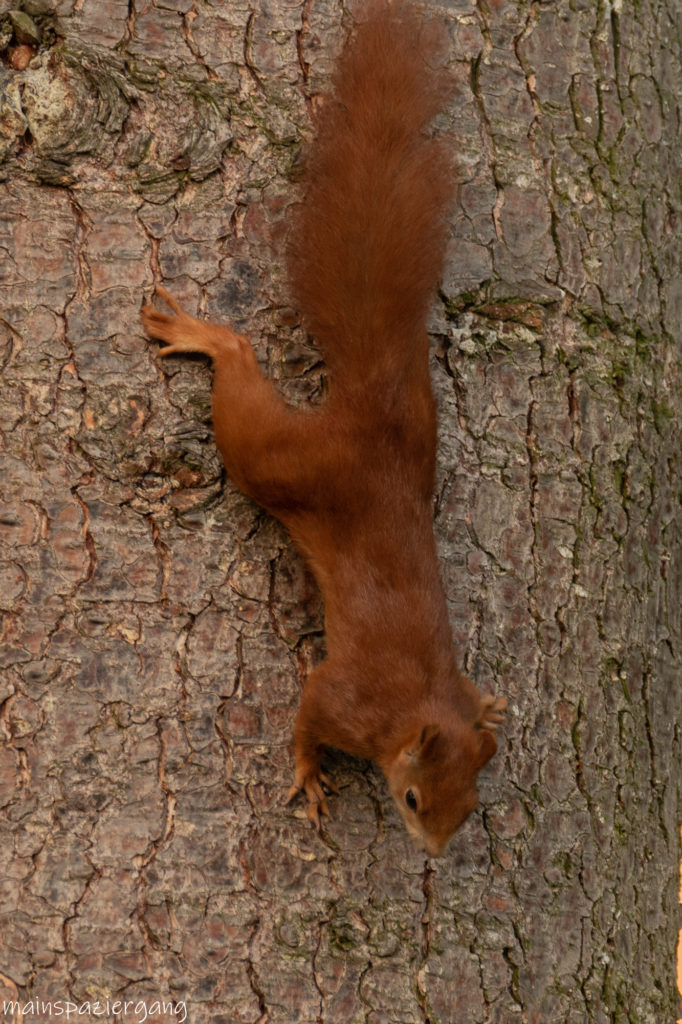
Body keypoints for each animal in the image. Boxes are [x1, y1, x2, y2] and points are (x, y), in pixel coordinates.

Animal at [142, 0, 503, 856]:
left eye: (471, 806)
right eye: (413, 798)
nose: (434, 852)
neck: (418, 710)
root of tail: (371, 406)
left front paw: (490, 705)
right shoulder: (345, 699)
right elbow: (308, 712)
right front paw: (308, 775)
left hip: (419, 434)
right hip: (277, 460)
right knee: (242, 380)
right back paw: (209, 338)